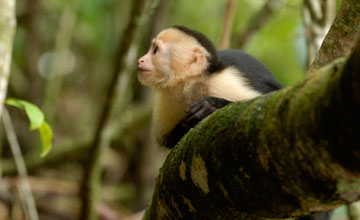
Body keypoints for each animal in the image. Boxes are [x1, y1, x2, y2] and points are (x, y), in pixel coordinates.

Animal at [136, 26, 282, 150]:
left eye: (155, 50)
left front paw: (210, 105)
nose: (140, 60)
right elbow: (168, 139)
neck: (191, 83)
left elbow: (260, 101)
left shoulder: (219, 81)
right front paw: (186, 123)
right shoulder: (168, 96)